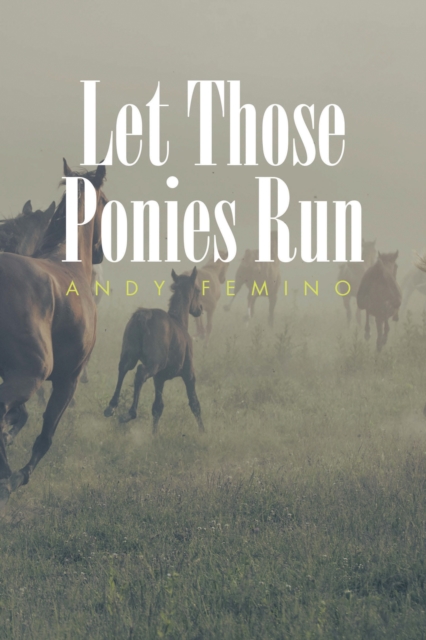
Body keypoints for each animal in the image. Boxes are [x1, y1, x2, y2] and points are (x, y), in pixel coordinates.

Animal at [0, 159, 107, 510]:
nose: (100, 254)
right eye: (105, 202)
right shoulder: (67, 379)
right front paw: (13, 479)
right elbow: (45, 435)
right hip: (31, 375)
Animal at [104, 268, 204, 433]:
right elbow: (194, 403)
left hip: (129, 355)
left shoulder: (159, 378)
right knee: (140, 373)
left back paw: (111, 407)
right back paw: (130, 413)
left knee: (123, 369)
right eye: (197, 290)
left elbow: (158, 407)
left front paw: (154, 434)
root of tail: (142, 316)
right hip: (154, 363)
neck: (179, 322)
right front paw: (203, 432)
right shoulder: (189, 373)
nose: (200, 309)